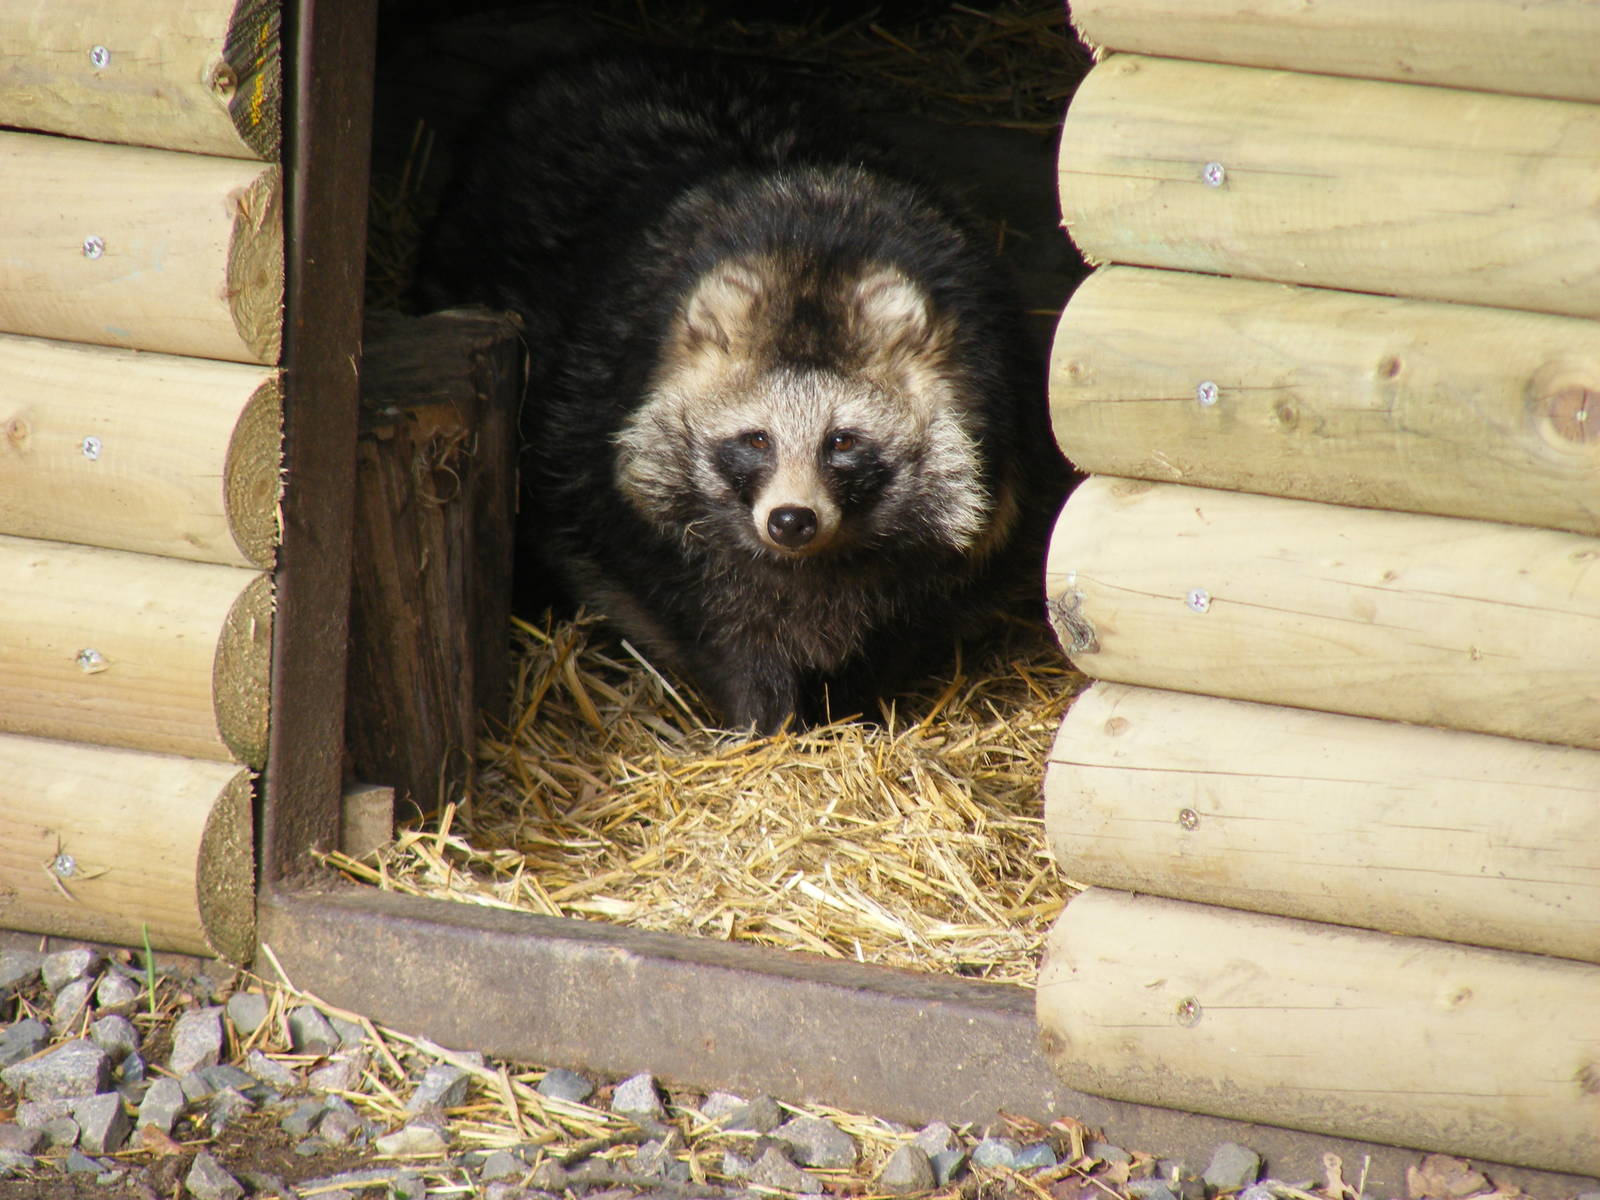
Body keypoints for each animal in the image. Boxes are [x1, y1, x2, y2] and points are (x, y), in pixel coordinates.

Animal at [418, 50, 1064, 733]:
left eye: (842, 441)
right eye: (756, 439)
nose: (791, 521)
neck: (817, 234)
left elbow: (905, 620)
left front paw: (849, 707)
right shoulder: (615, 466)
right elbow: (722, 627)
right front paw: (761, 720)